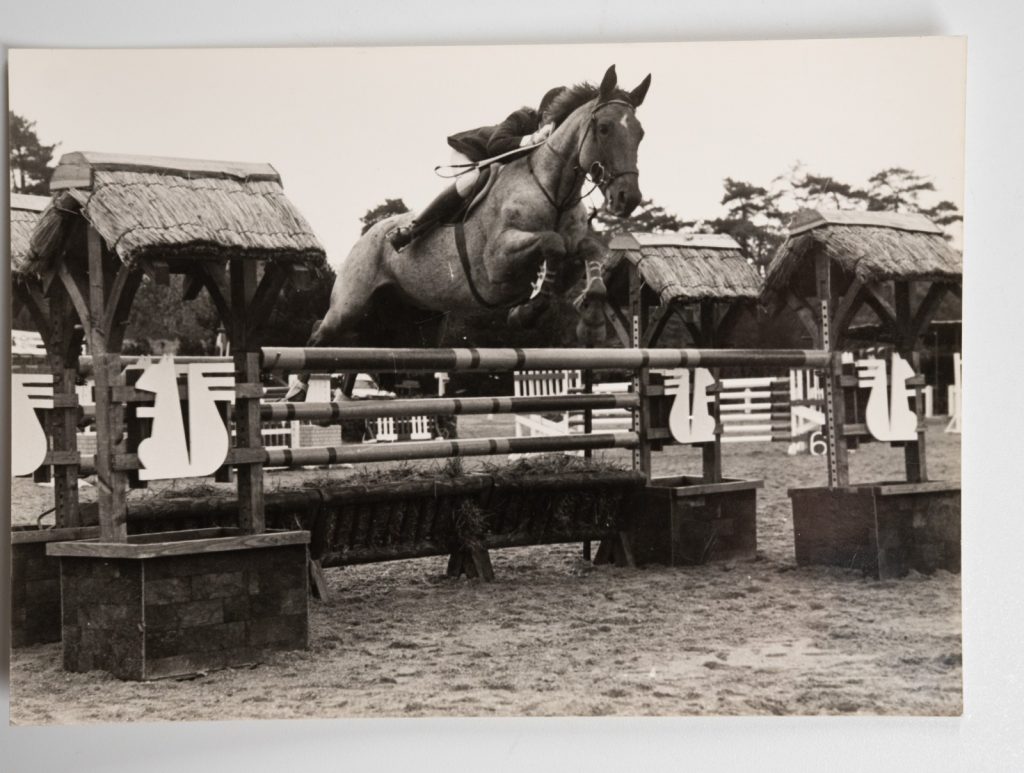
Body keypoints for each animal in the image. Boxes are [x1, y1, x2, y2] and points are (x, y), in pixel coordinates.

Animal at [289, 65, 650, 399]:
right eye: (604, 128)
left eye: (641, 134)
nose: (627, 198)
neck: (553, 193)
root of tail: (366, 236)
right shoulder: (498, 261)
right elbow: (553, 244)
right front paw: (526, 311)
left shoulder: (574, 247)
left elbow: (587, 254)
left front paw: (592, 325)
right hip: (351, 303)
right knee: (322, 332)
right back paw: (299, 389)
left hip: (417, 320)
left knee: (369, 350)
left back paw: (343, 398)